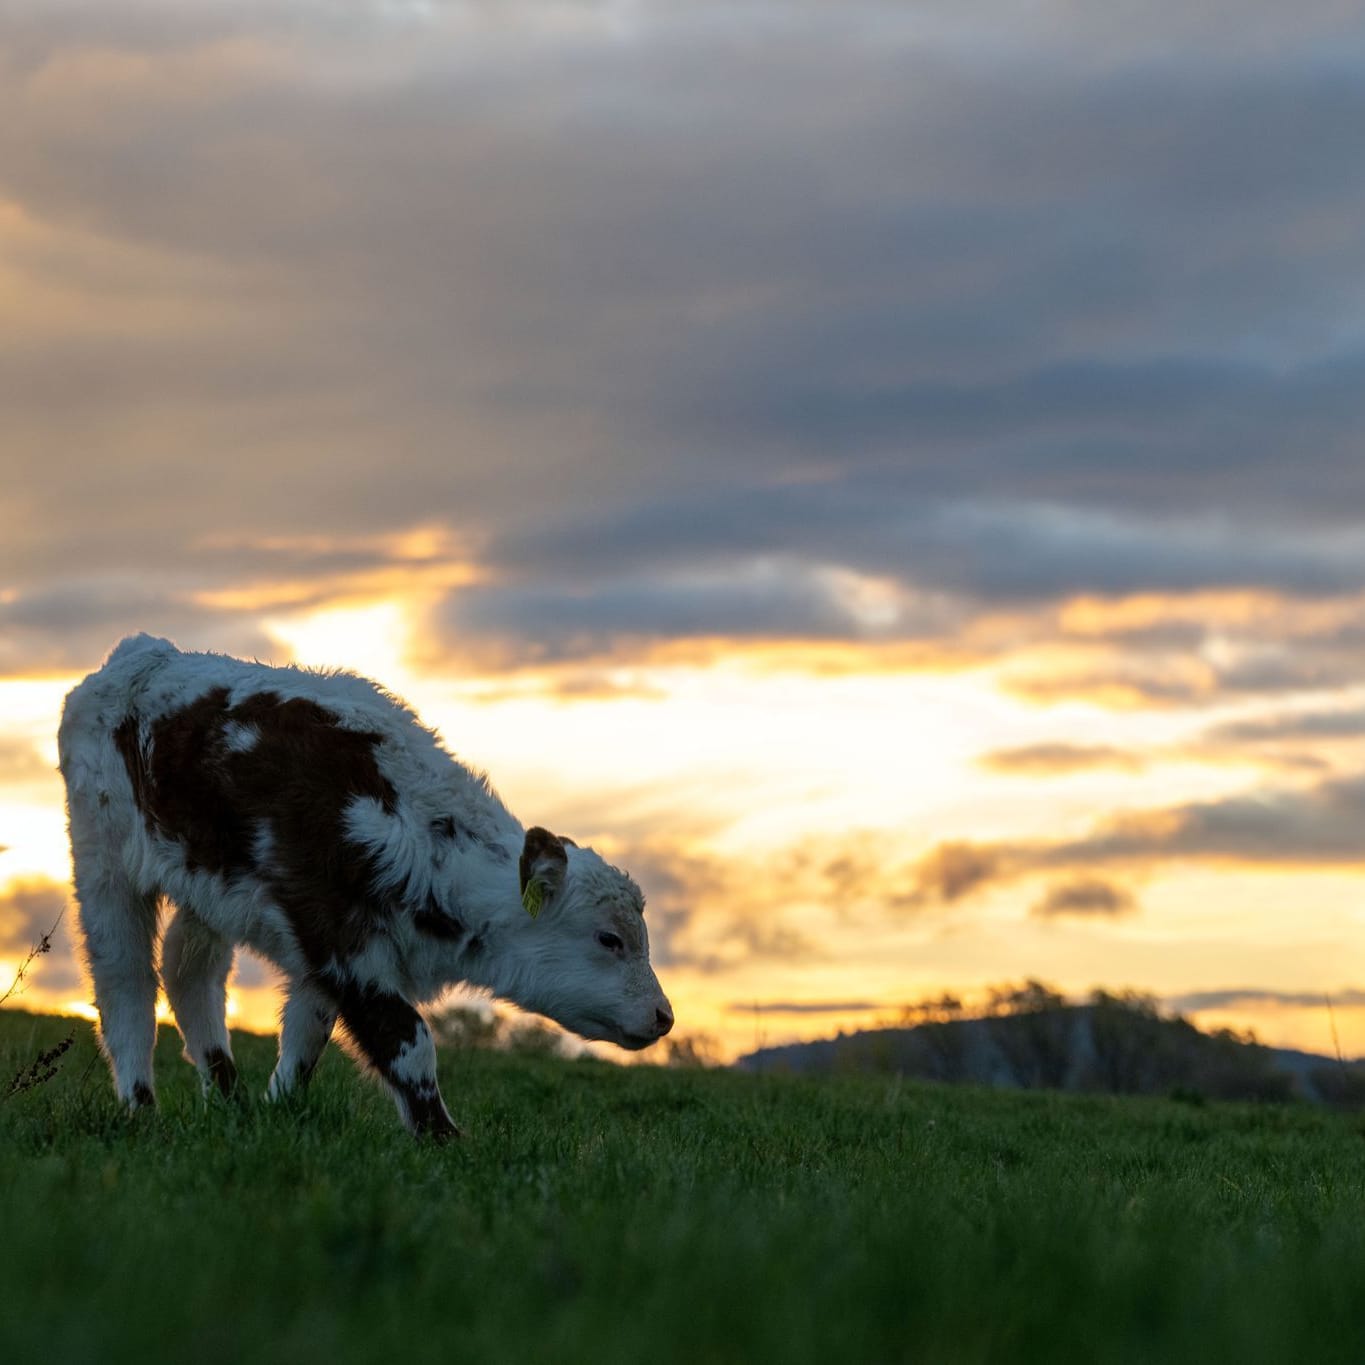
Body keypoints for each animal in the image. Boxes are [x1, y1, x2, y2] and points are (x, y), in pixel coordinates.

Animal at [61, 633, 674, 1135]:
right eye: (609, 939)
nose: (664, 1016)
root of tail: (142, 653)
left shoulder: (320, 953)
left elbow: (305, 1036)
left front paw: (276, 1113)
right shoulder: (340, 941)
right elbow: (409, 1043)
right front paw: (444, 1141)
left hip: (205, 888)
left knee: (190, 972)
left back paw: (229, 1101)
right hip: (102, 858)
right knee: (125, 983)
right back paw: (141, 1108)